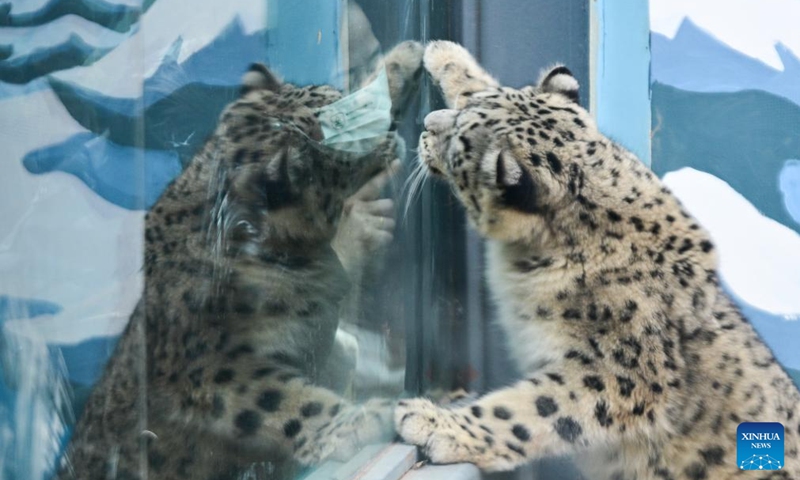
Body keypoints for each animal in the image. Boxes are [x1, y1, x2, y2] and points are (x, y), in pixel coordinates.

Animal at [55, 40, 424, 480]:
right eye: (346, 134)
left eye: (341, 98)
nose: (391, 130)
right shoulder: (214, 371)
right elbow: (283, 402)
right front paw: (362, 420)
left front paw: (403, 59)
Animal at [395, 40, 800, 480]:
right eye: (470, 105)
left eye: (458, 148)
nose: (427, 123)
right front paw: (446, 56)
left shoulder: (621, 374)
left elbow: (531, 411)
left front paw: (434, 422)